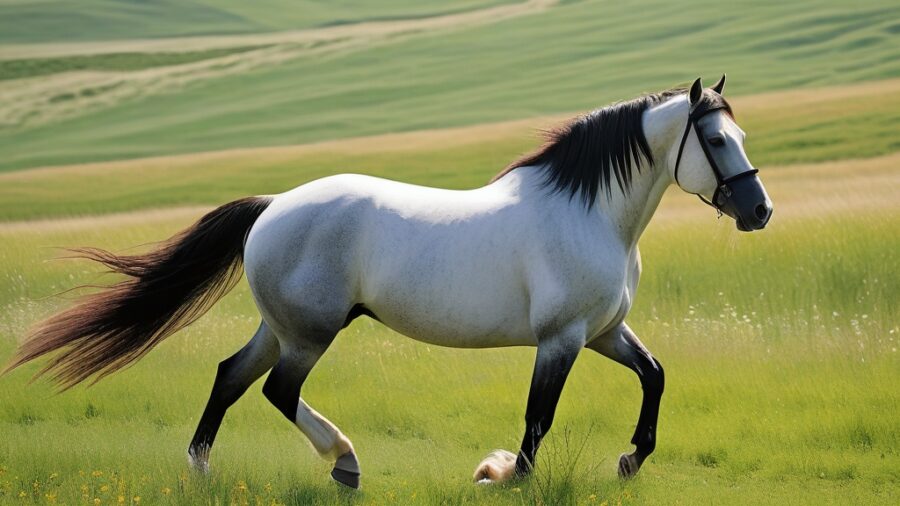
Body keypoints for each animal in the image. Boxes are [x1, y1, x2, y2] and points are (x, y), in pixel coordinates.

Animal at [5, 76, 772, 488]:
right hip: (311, 332)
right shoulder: (561, 339)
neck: (590, 214)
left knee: (230, 377)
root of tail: (273, 206)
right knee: (278, 390)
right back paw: (343, 462)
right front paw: (505, 474)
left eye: (738, 137)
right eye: (716, 141)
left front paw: (630, 460)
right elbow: (538, 418)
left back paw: (202, 470)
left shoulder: (603, 332)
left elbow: (655, 375)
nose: (759, 211)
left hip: (283, 326)